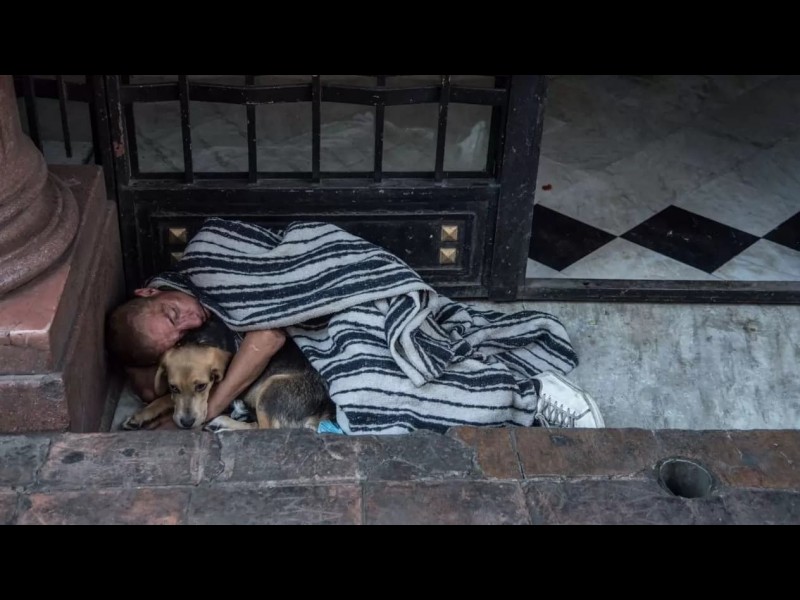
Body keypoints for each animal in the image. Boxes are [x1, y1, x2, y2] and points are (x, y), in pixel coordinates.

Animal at [121, 316, 334, 432]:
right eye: (173, 387)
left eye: (202, 386)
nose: (187, 423)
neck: (200, 339)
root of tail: (321, 412)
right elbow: (166, 398)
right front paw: (141, 415)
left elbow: (166, 399)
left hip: (271, 388)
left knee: (264, 429)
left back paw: (222, 423)